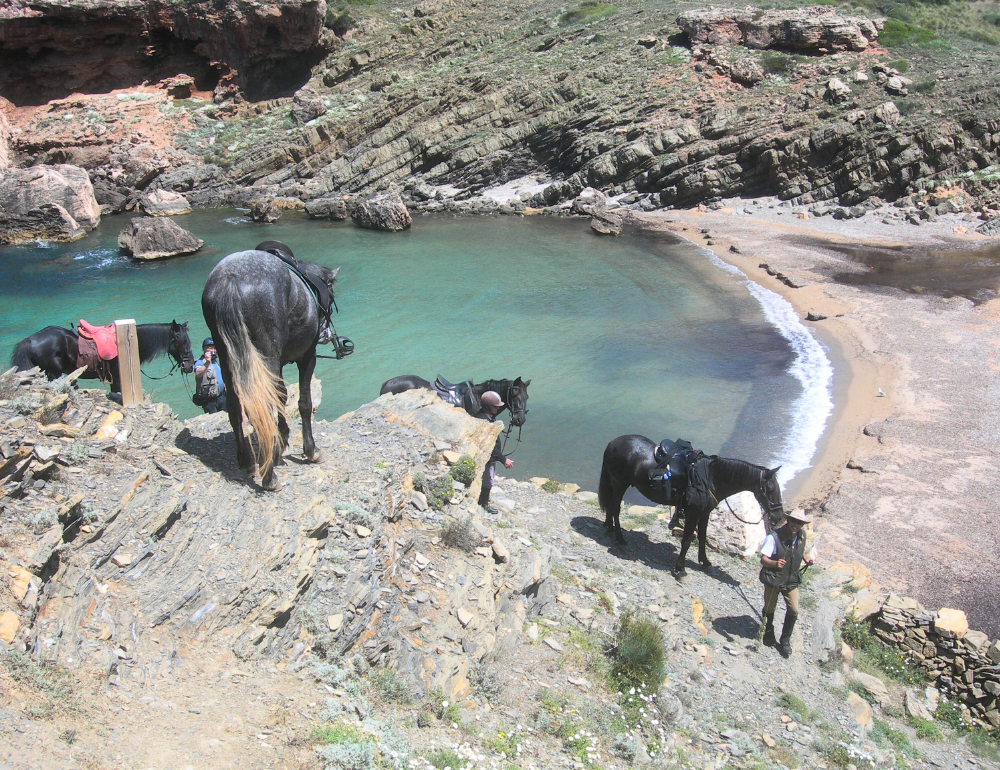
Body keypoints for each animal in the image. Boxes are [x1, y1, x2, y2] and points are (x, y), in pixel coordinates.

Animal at [201, 243, 346, 488]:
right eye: (332, 295)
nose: (325, 333)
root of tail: (230, 280)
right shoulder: (307, 356)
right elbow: (303, 402)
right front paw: (310, 450)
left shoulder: (277, 364)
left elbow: (281, 395)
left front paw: (282, 439)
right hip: (264, 352)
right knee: (263, 407)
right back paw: (269, 476)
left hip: (228, 356)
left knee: (235, 405)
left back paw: (248, 461)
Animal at [596, 436, 784, 572]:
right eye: (770, 489)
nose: (779, 517)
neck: (711, 478)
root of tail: (612, 443)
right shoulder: (692, 513)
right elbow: (686, 540)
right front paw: (680, 569)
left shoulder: (705, 513)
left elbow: (702, 536)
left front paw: (705, 561)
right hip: (620, 483)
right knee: (616, 508)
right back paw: (620, 538)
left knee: (611, 507)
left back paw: (610, 528)